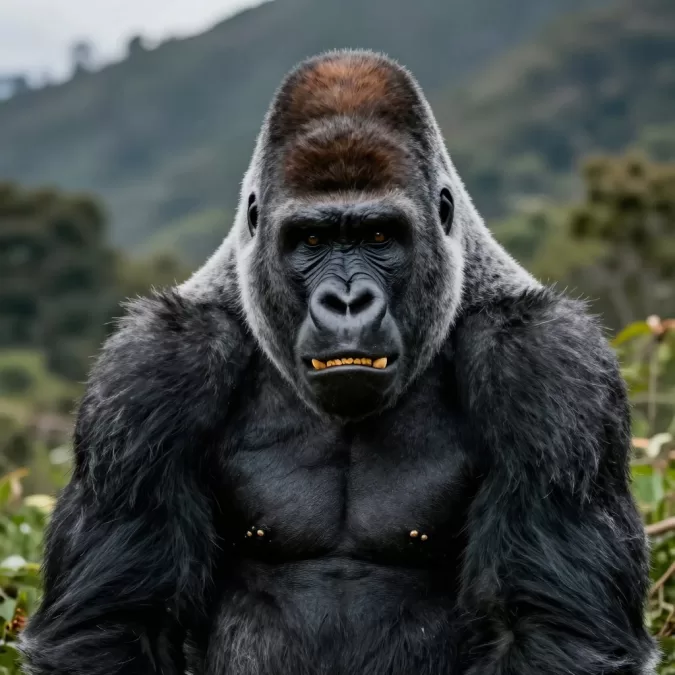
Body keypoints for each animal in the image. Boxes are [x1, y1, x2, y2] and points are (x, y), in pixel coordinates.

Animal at [21, 50, 657, 675]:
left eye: (379, 236)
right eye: (310, 241)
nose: (347, 302)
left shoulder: (546, 362)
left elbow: (551, 628)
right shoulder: (155, 365)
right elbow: (116, 626)